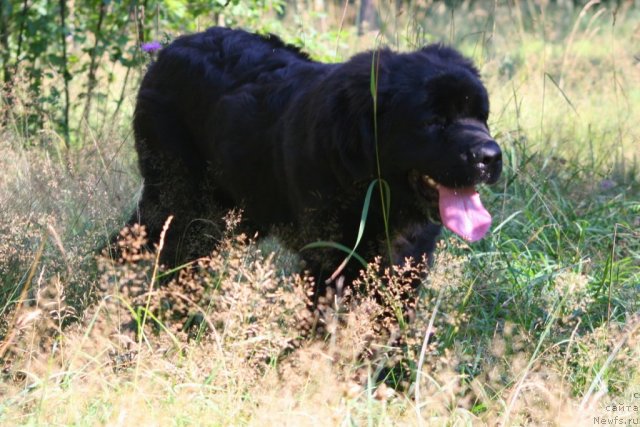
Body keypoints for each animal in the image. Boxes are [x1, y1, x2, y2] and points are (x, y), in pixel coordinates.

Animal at [129, 25, 500, 280]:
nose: (490, 157)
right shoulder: (333, 258)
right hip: (181, 201)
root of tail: (168, 50)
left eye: (482, 116)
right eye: (434, 121)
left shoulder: (407, 261)